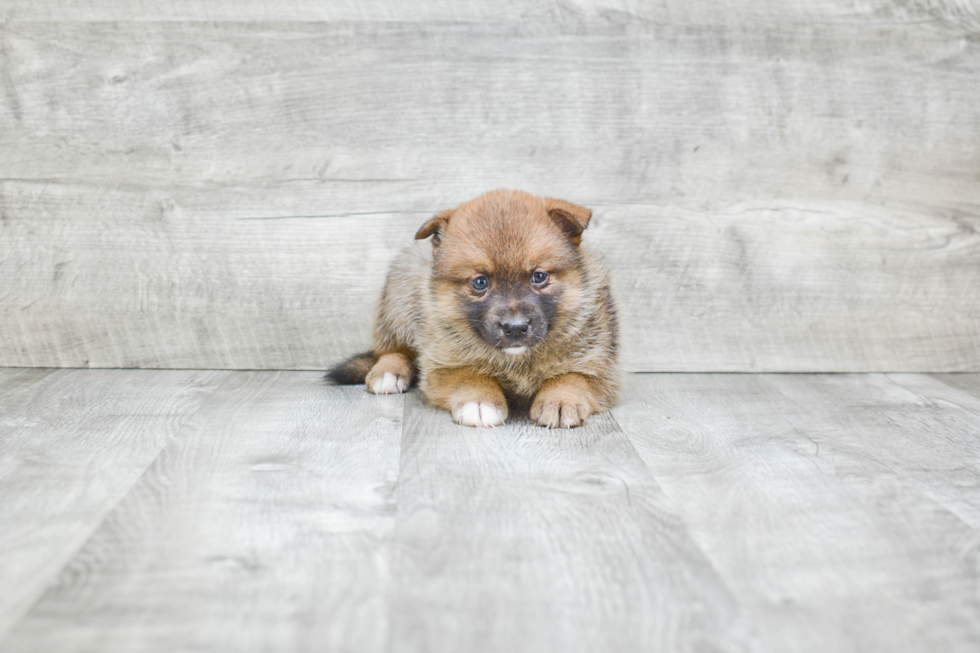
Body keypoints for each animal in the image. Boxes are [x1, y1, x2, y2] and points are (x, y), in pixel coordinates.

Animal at [330, 187, 620, 428]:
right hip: (399, 302)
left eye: (539, 277)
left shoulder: (600, 366)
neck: (517, 360)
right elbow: (469, 376)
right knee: (392, 349)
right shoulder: (444, 364)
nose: (515, 328)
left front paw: (560, 400)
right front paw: (480, 402)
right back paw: (388, 373)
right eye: (479, 282)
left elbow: (573, 377)